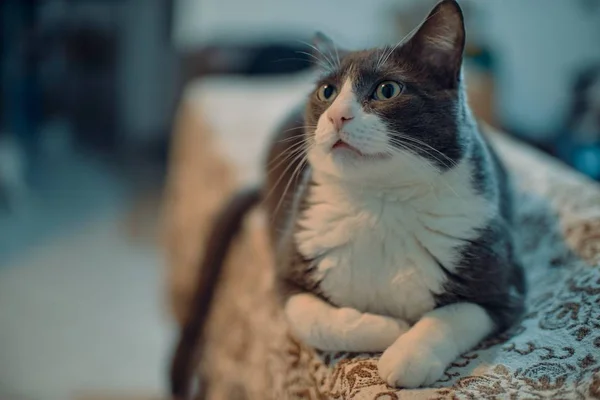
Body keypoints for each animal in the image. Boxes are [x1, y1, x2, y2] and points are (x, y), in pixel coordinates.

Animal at [170, 0, 524, 394]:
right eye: (327, 92)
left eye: (387, 90)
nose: (337, 116)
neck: (380, 202)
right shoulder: (287, 268)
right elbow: (310, 318)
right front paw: (390, 328)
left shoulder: (505, 285)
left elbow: (454, 314)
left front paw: (408, 355)